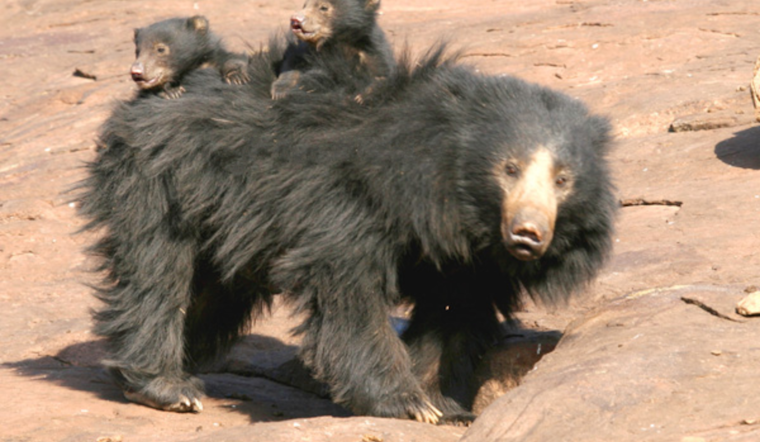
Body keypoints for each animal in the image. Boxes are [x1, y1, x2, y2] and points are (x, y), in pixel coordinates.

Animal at [78, 41, 616, 424]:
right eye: (509, 168)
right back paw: (167, 387)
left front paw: (442, 403)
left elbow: (452, 315)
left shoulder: (467, 260)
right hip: (163, 181)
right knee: (157, 274)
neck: (453, 207)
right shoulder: (349, 201)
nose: (528, 234)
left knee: (214, 295)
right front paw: (408, 403)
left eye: (563, 180)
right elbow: (349, 289)